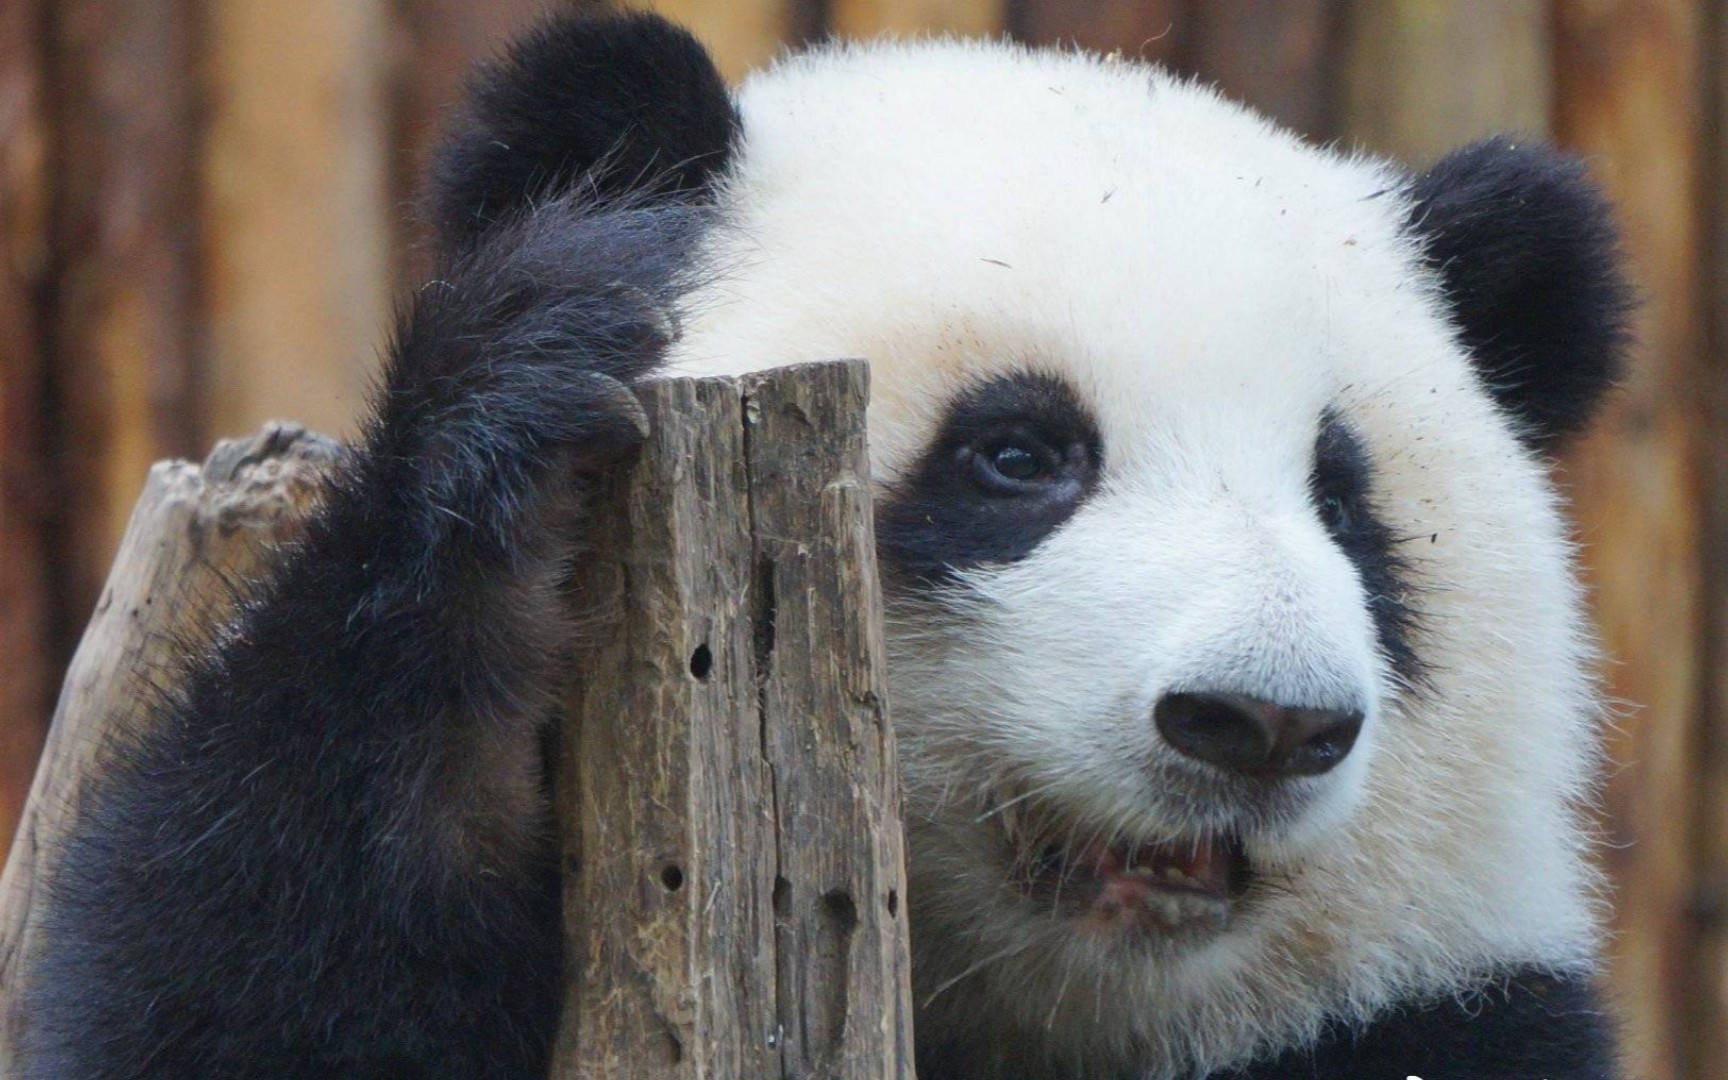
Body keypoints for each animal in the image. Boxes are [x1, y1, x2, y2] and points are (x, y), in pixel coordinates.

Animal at [27, 8, 1631, 1078]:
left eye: (1345, 505)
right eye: (1018, 456)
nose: (1260, 723)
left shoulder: (1445, 1011)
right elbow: (237, 978)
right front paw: (534, 393)